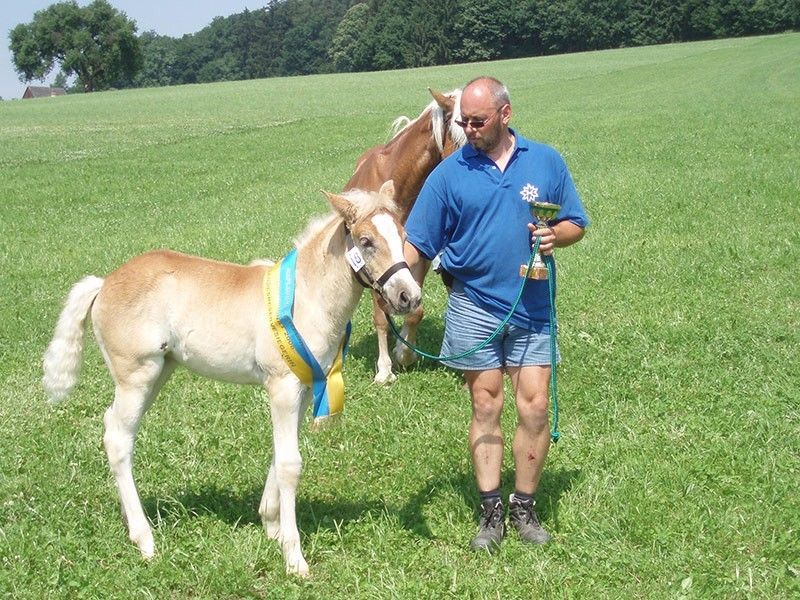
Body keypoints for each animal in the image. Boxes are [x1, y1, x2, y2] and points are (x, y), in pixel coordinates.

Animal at [42, 183, 418, 576]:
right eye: (366, 241)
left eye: (404, 236)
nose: (409, 296)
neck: (306, 296)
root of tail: (104, 283)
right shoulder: (282, 386)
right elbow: (290, 464)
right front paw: (294, 557)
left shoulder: (302, 386)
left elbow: (280, 452)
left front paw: (270, 524)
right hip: (136, 376)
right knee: (118, 438)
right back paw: (144, 539)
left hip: (160, 371)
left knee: (111, 425)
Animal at [346, 87, 468, 382]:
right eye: (461, 137)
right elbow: (380, 318)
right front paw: (384, 369)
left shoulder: (418, 255)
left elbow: (416, 310)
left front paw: (405, 353)